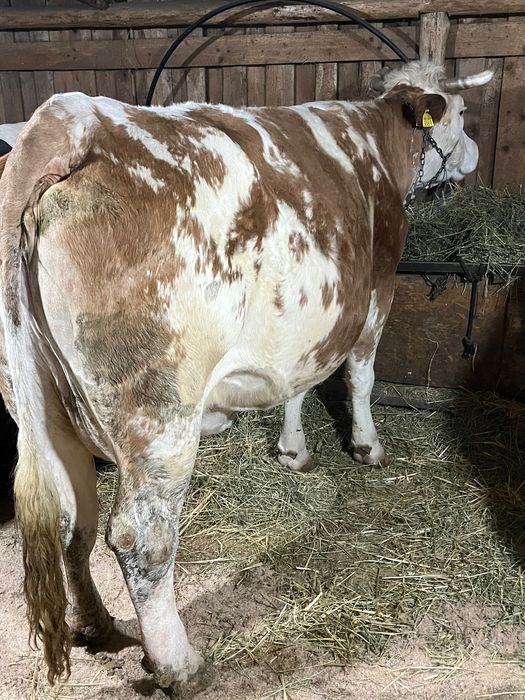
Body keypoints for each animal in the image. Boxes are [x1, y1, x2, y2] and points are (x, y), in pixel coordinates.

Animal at [0, 61, 492, 693]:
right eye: (461, 114)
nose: (475, 154)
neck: (375, 144)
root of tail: (68, 118)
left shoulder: (305, 322)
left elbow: (297, 382)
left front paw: (293, 450)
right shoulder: (376, 290)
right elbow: (358, 375)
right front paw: (367, 446)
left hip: (41, 407)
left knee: (71, 519)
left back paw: (98, 625)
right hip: (157, 412)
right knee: (141, 538)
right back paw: (180, 665)